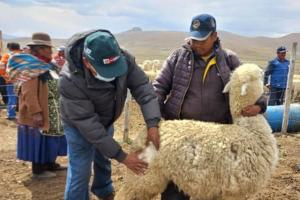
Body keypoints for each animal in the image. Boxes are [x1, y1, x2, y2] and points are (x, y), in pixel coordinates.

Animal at [115, 63, 278, 200]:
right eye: (258, 75)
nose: (265, 73)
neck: (250, 132)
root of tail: (144, 135)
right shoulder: (234, 192)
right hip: (144, 175)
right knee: (124, 194)